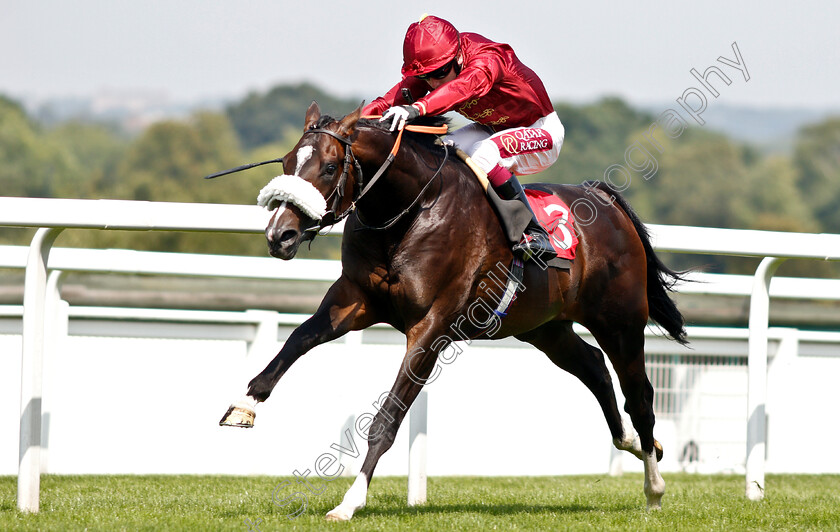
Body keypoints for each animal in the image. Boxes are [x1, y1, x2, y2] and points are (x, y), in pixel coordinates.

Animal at [220, 102, 684, 520]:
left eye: (331, 167)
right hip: (545, 327)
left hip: (620, 322)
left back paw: (654, 488)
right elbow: (298, 340)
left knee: (640, 395)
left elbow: (387, 418)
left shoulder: (432, 326)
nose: (279, 235)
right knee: (593, 366)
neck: (408, 212)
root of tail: (603, 197)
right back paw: (632, 442)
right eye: (286, 162)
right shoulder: (353, 299)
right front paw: (245, 404)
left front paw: (349, 502)